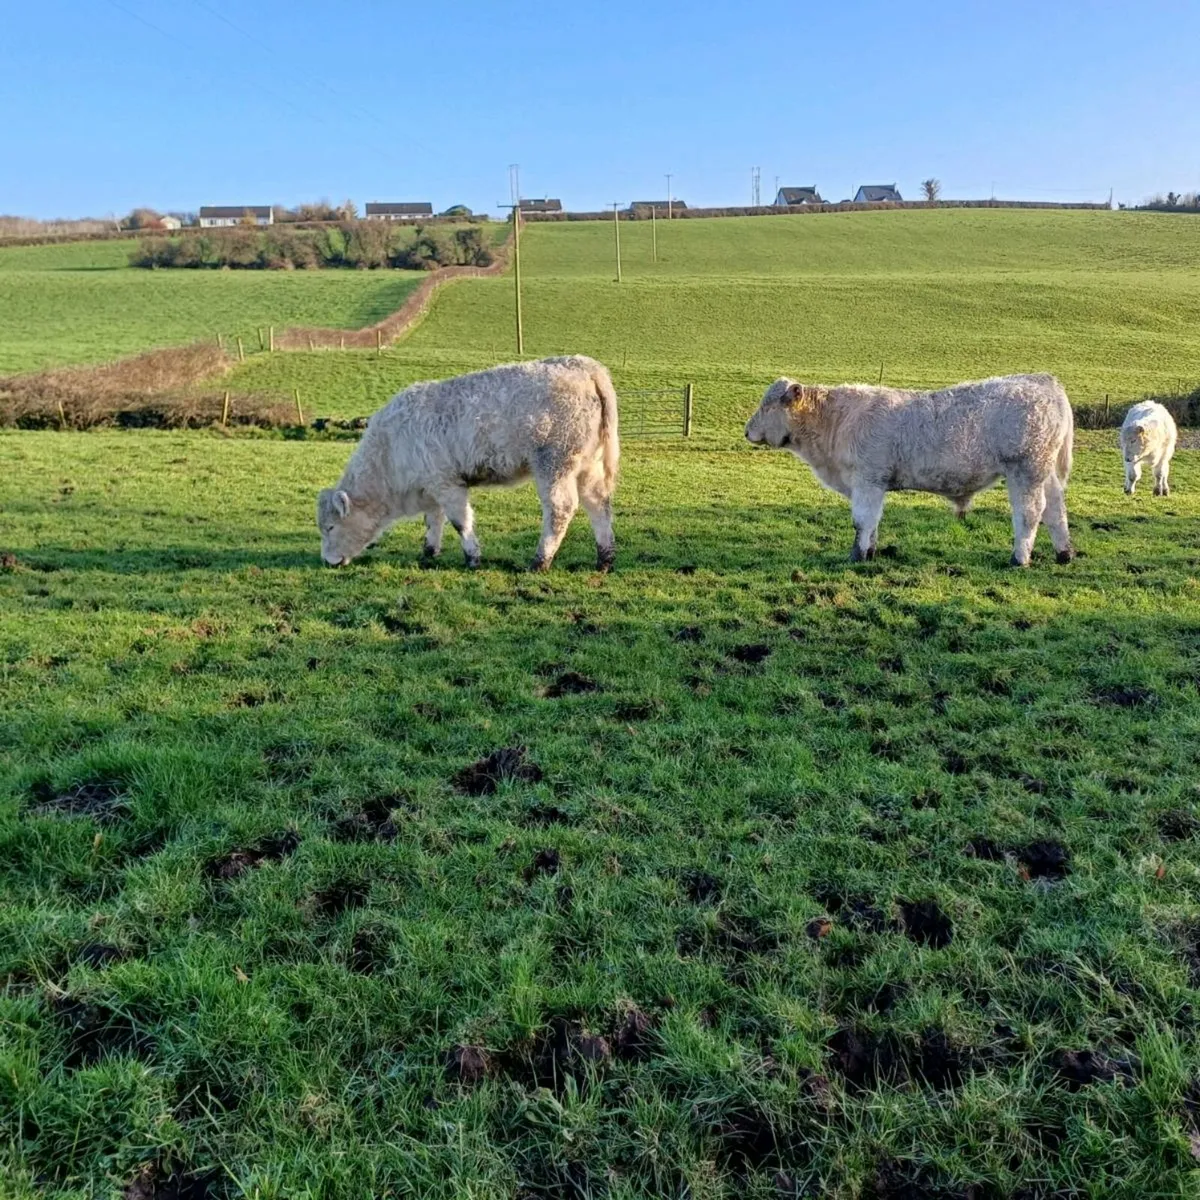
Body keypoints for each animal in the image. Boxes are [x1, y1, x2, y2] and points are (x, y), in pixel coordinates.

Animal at [317, 356, 619, 572]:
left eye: (330, 527)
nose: (327, 561)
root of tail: (584, 365)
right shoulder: (432, 485)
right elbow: (433, 520)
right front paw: (429, 553)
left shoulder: (447, 482)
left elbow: (460, 521)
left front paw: (473, 558)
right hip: (588, 465)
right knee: (598, 504)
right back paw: (604, 559)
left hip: (554, 463)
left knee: (560, 509)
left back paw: (539, 561)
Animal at [745, 373, 1075, 566]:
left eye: (767, 406)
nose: (747, 431)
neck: (836, 421)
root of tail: (1041, 379)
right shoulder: (873, 485)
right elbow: (873, 523)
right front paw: (870, 552)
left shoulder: (867, 480)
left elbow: (862, 522)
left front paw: (857, 557)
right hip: (1045, 474)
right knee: (1055, 511)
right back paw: (1064, 553)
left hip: (1026, 469)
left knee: (1030, 513)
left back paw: (1019, 558)